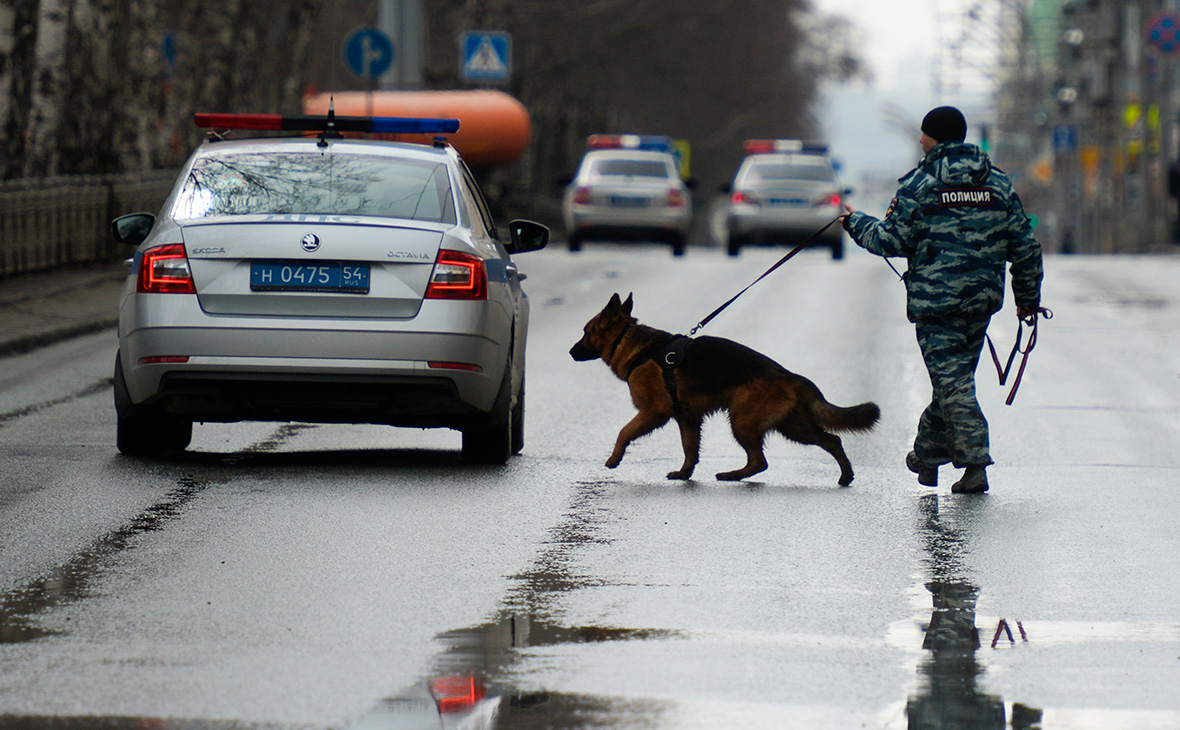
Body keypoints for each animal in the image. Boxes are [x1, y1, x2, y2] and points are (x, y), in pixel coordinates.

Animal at [566, 291, 882, 485]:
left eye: (585, 332)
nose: (570, 352)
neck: (632, 344)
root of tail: (790, 375)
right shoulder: (687, 418)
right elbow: (690, 449)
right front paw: (684, 474)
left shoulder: (654, 412)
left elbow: (624, 432)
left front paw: (614, 458)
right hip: (793, 427)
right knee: (831, 440)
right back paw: (846, 476)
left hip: (742, 420)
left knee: (760, 461)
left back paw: (732, 475)